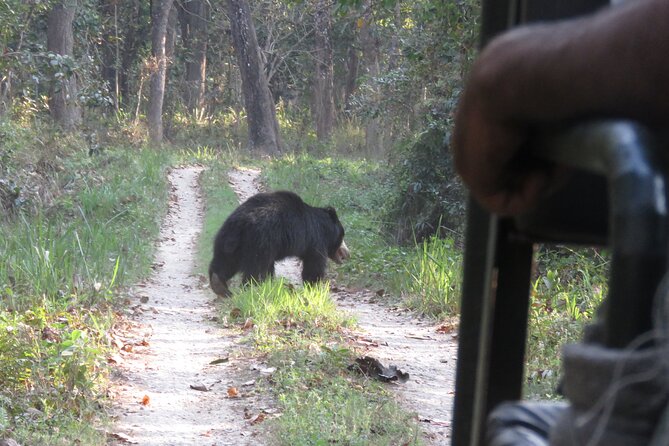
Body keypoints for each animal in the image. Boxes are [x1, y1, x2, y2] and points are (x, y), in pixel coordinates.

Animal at [210, 189, 350, 296]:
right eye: (343, 236)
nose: (347, 253)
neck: (324, 228)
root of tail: (241, 222)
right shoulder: (315, 240)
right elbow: (314, 264)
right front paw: (313, 286)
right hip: (260, 241)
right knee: (256, 268)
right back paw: (252, 288)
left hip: (228, 241)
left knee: (225, 262)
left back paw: (219, 285)